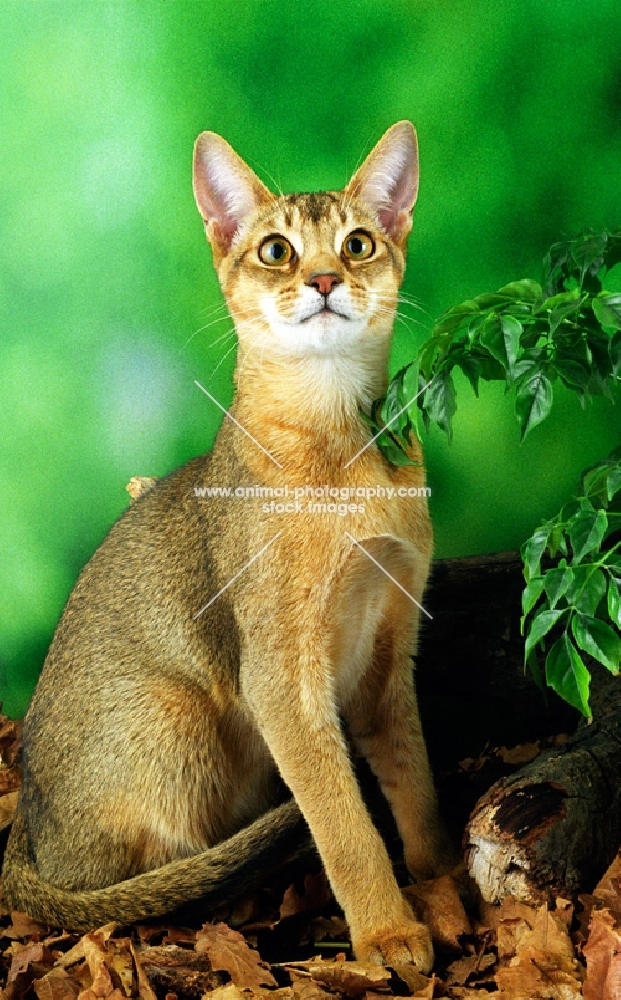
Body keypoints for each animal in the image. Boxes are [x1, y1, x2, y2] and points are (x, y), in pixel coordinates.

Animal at [2, 121, 452, 972]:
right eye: (276, 251)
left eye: (358, 243)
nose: (322, 280)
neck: (340, 451)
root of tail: (25, 831)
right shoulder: (280, 679)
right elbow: (346, 826)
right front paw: (388, 933)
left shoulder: (390, 648)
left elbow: (414, 783)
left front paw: (440, 885)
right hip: (176, 717)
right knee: (138, 884)